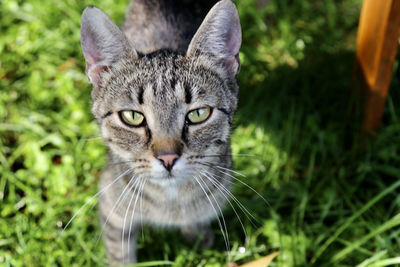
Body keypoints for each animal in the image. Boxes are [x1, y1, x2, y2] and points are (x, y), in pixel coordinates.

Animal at [78, 0, 241, 264]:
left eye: (199, 114)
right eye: (133, 117)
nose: (168, 158)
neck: (171, 201)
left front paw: (198, 236)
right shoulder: (113, 213)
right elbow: (120, 255)